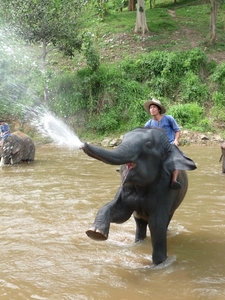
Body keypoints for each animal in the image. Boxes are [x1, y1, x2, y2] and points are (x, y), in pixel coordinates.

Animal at [81, 126, 197, 264]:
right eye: (122, 140)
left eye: (148, 145)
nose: (82, 144)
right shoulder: (125, 188)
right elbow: (121, 214)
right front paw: (95, 233)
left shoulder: (164, 190)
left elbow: (157, 224)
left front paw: (160, 263)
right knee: (139, 221)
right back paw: (138, 242)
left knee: (165, 220)